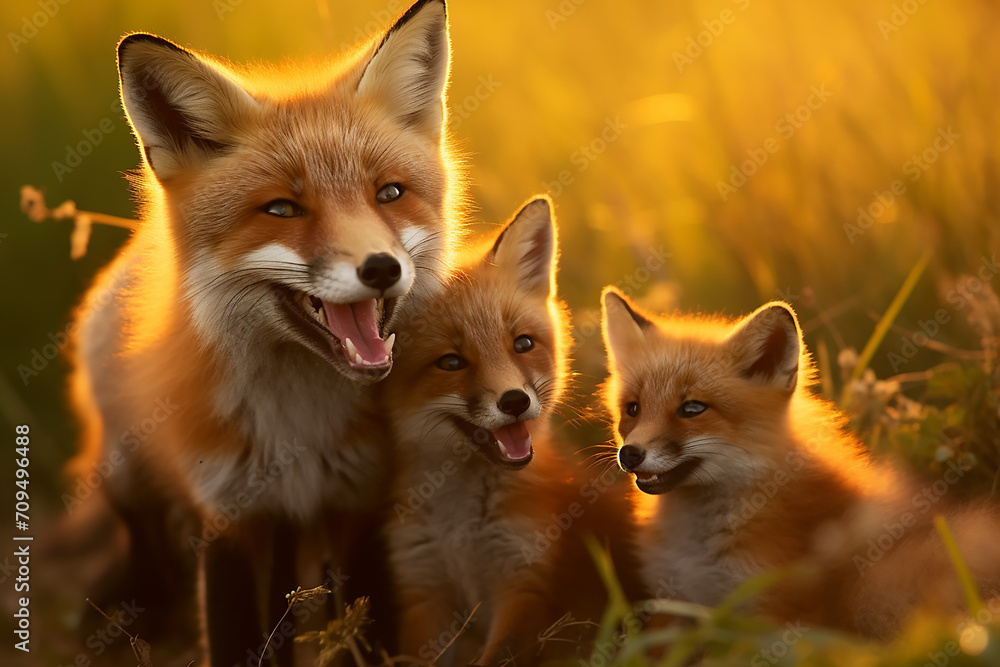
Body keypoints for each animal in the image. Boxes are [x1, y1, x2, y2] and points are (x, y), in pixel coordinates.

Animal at [66, 0, 459, 663]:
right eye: (282, 209)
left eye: (389, 193)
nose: (382, 268)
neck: (298, 429)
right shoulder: (229, 512)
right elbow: (234, 637)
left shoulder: (359, 501)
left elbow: (365, 625)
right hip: (131, 477)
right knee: (145, 549)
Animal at [382, 197, 642, 665]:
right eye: (451, 362)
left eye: (522, 344)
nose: (515, 402)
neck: (462, 532)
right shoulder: (423, 588)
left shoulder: (524, 581)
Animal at [601, 288, 1000, 640]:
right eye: (633, 409)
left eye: (693, 408)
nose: (630, 454)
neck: (695, 551)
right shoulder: (678, 606)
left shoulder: (776, 612)